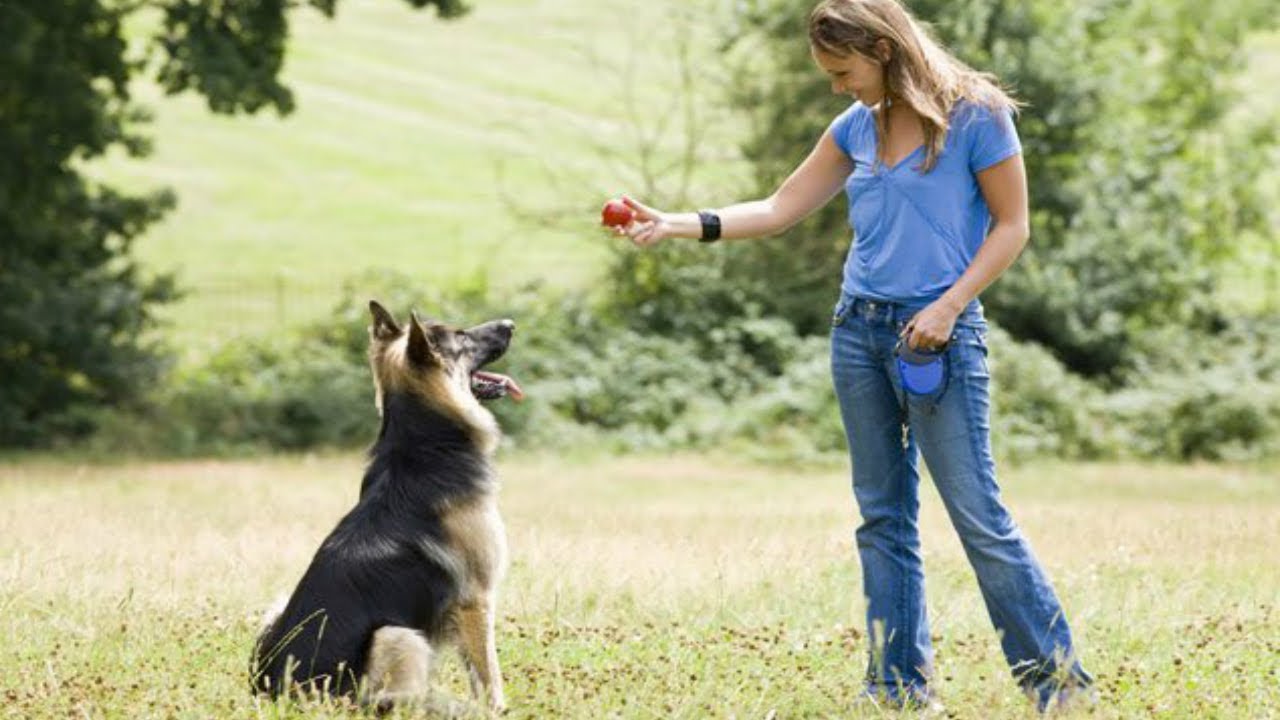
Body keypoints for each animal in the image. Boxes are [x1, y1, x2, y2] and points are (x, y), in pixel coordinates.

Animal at [252, 299, 522, 707]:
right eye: (461, 336)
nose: (510, 323)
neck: (424, 445)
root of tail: (281, 692)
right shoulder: (476, 601)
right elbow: (490, 676)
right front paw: (495, 710)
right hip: (397, 635)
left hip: (275, 610)